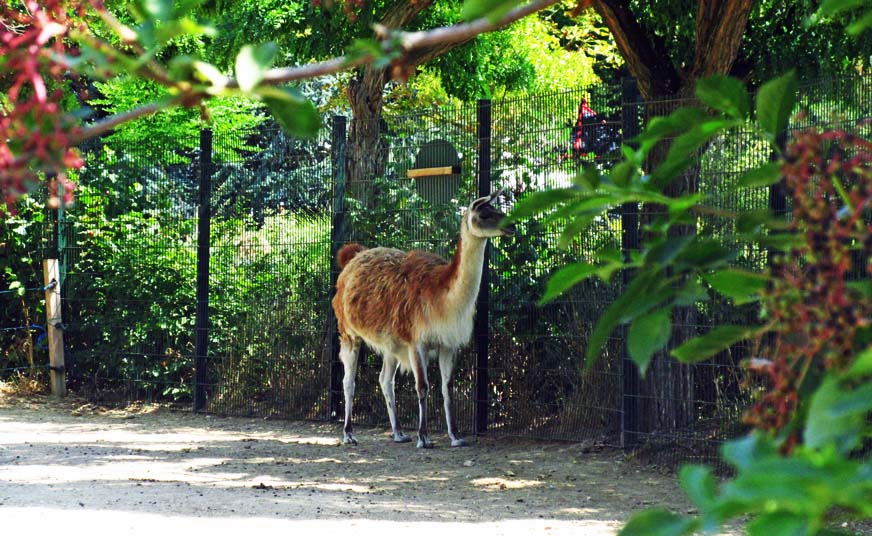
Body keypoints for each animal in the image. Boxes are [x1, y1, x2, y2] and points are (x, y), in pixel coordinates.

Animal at [332, 188, 516, 448]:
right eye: (485, 214)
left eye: (498, 209)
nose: (512, 226)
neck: (443, 297)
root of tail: (354, 256)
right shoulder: (417, 341)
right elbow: (423, 387)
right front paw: (424, 436)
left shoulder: (448, 344)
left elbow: (447, 388)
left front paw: (455, 436)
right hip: (349, 333)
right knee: (349, 381)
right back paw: (349, 433)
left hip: (391, 343)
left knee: (385, 381)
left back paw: (398, 433)